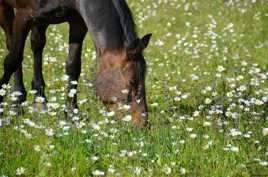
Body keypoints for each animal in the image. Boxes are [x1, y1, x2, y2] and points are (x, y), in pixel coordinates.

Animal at [0, 0, 151, 127]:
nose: (143, 125)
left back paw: (39, 101)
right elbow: (13, 60)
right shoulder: (24, 15)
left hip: (41, 20)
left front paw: (72, 114)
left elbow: (73, 66)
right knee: (12, 45)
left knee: (37, 44)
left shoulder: (77, 21)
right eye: (131, 82)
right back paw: (17, 101)